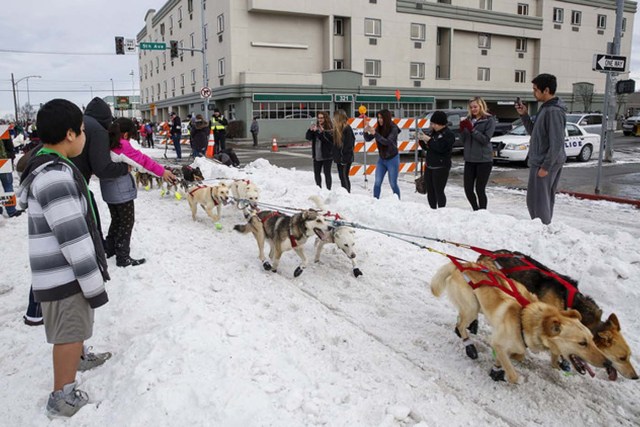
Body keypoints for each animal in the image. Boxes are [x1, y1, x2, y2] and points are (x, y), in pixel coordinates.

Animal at [430, 260, 616, 384]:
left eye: (592, 340)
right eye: (582, 343)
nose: (608, 362)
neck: (524, 318)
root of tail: (461, 265)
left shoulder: (513, 345)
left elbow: (516, 354)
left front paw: (498, 368)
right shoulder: (498, 343)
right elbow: (512, 374)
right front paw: (511, 375)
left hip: (477, 307)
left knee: (460, 320)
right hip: (472, 307)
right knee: (462, 325)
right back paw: (469, 346)